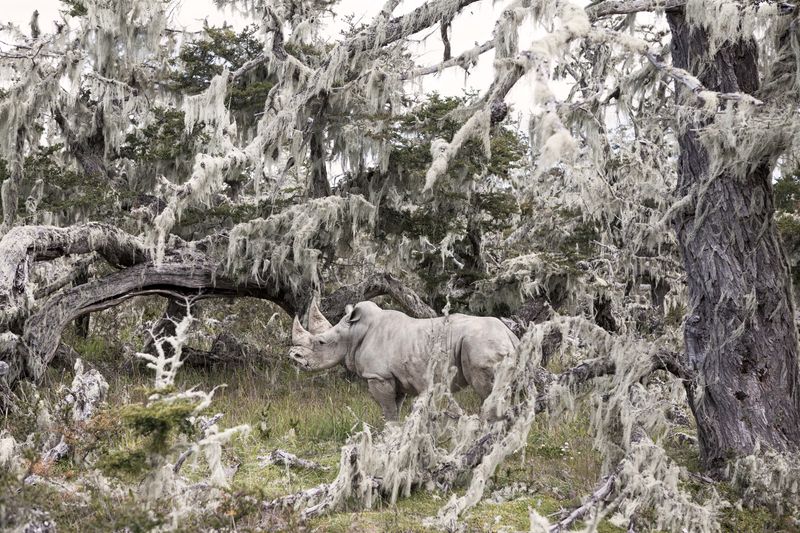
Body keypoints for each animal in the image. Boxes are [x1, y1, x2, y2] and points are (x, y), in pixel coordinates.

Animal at [289, 300, 519, 421]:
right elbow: (394, 410)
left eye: (321, 342)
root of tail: (510, 334)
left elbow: (388, 411)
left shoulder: (378, 376)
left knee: (485, 390)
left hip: (481, 343)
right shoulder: (393, 378)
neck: (353, 333)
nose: (294, 356)